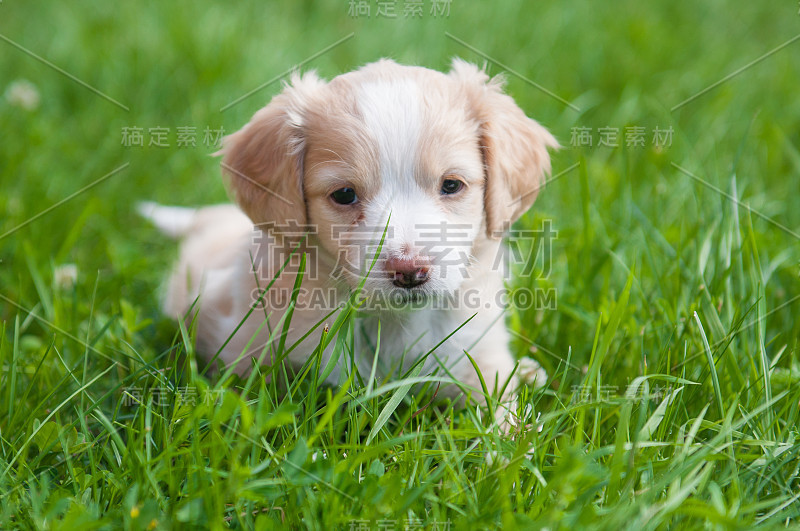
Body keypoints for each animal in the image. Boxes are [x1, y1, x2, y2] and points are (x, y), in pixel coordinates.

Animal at [142, 59, 556, 416]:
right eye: (344, 194)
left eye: (451, 185)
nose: (410, 271)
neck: (393, 321)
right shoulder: (252, 351)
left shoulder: (478, 354)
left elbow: (504, 413)